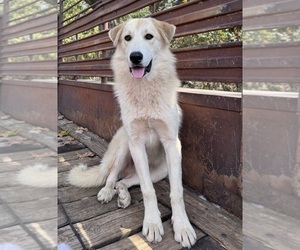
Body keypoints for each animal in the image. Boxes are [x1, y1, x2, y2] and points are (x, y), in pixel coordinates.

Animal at [69, 17, 198, 248]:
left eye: (149, 36)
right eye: (127, 38)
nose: (135, 57)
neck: (145, 91)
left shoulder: (171, 144)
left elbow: (177, 192)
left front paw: (182, 226)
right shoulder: (136, 143)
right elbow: (148, 191)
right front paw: (153, 223)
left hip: (159, 170)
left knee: (125, 181)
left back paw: (123, 195)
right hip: (124, 147)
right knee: (112, 175)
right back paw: (108, 191)